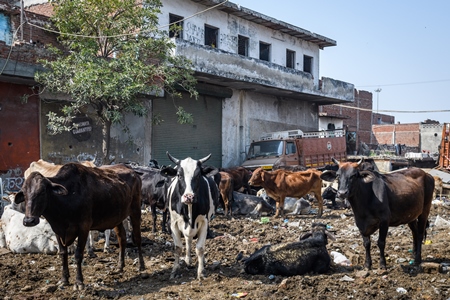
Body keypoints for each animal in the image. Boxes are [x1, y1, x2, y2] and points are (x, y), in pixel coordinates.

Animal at [14, 163, 145, 290]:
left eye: (42, 192)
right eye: (24, 193)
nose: (29, 220)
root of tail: (133, 171)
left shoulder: (83, 228)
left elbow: (78, 255)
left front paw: (79, 282)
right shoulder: (58, 231)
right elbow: (63, 253)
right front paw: (64, 280)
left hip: (135, 211)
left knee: (138, 238)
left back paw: (141, 266)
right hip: (117, 218)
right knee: (122, 238)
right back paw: (119, 267)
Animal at [161, 152, 219, 282]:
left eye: (198, 175)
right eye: (179, 175)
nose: (189, 196)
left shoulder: (204, 222)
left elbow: (200, 248)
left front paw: (201, 272)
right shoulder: (173, 223)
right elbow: (178, 247)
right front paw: (175, 271)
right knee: (188, 239)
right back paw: (188, 260)